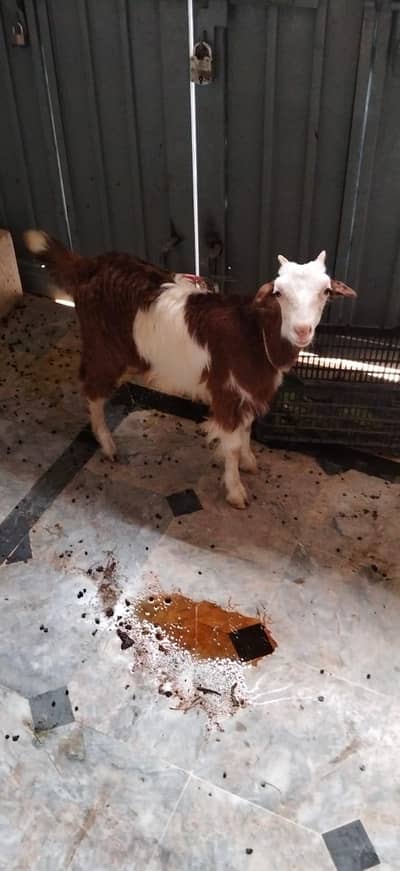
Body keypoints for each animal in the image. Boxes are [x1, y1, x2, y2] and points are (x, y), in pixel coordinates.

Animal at [24, 231, 356, 508]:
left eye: (326, 292)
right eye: (279, 293)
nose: (302, 330)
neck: (255, 333)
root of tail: (90, 264)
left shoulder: (247, 392)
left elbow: (247, 429)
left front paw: (249, 461)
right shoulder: (226, 392)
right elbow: (231, 445)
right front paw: (236, 491)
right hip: (105, 347)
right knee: (92, 389)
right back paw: (106, 444)